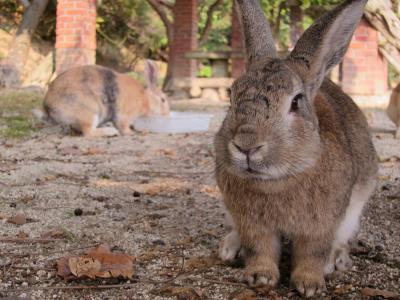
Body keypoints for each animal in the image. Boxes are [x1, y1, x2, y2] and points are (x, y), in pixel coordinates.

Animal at [41, 59, 169, 137]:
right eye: (163, 100)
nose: (167, 115)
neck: (145, 99)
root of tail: (48, 107)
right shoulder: (124, 116)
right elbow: (124, 127)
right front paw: (132, 132)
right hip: (90, 113)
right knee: (88, 133)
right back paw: (111, 131)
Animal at [214, 0, 376, 296]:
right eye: (231, 96)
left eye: (296, 102)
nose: (246, 145)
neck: (278, 180)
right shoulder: (253, 224)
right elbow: (260, 249)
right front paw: (260, 277)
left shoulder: (321, 224)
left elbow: (312, 253)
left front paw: (310, 284)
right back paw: (230, 248)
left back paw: (335, 260)